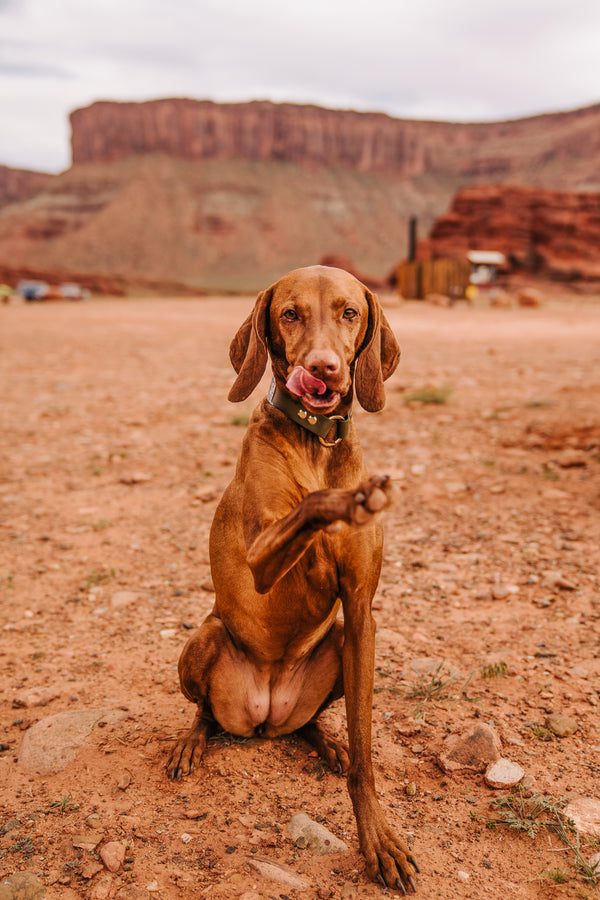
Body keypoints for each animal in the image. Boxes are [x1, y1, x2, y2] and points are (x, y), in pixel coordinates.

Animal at [169, 264, 420, 888]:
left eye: (350, 312)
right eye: (290, 314)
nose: (324, 367)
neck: (316, 440)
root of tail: (266, 717)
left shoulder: (360, 613)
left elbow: (366, 752)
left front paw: (378, 840)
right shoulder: (263, 557)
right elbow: (311, 506)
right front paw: (347, 498)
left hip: (340, 646)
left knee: (311, 724)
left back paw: (325, 742)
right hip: (205, 638)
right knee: (204, 711)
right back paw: (191, 741)